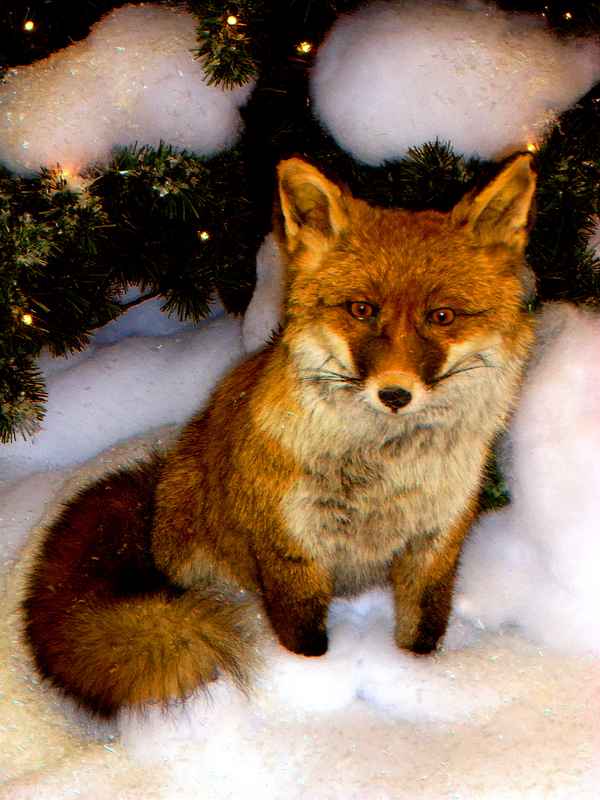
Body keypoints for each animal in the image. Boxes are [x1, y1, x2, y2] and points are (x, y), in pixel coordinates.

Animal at [23, 153, 537, 719]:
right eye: (362, 309)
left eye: (442, 317)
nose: (395, 393)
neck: (383, 473)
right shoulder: (290, 548)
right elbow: (304, 638)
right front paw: (308, 684)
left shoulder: (435, 544)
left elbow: (422, 635)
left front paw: (420, 680)